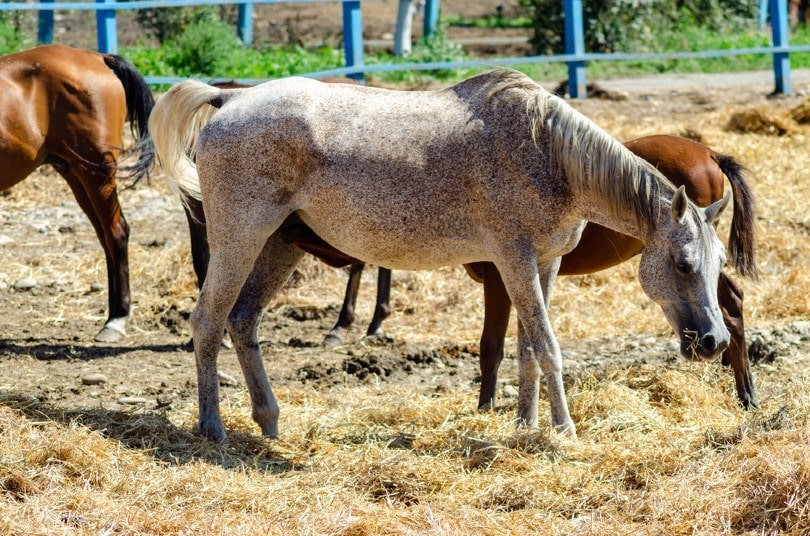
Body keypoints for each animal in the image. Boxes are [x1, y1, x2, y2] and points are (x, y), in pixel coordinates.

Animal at [0, 44, 153, 342]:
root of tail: (100, 58)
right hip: (75, 175)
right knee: (106, 237)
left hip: (96, 173)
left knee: (117, 232)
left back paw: (116, 319)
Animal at [150, 69, 732, 442]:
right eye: (684, 264)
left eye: (722, 264)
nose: (715, 341)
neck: (549, 155)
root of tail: (229, 101)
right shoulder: (515, 260)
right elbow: (547, 347)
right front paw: (564, 431)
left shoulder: (545, 264)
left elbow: (527, 350)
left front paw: (525, 426)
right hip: (240, 239)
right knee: (208, 322)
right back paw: (213, 429)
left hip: (279, 244)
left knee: (243, 321)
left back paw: (269, 421)